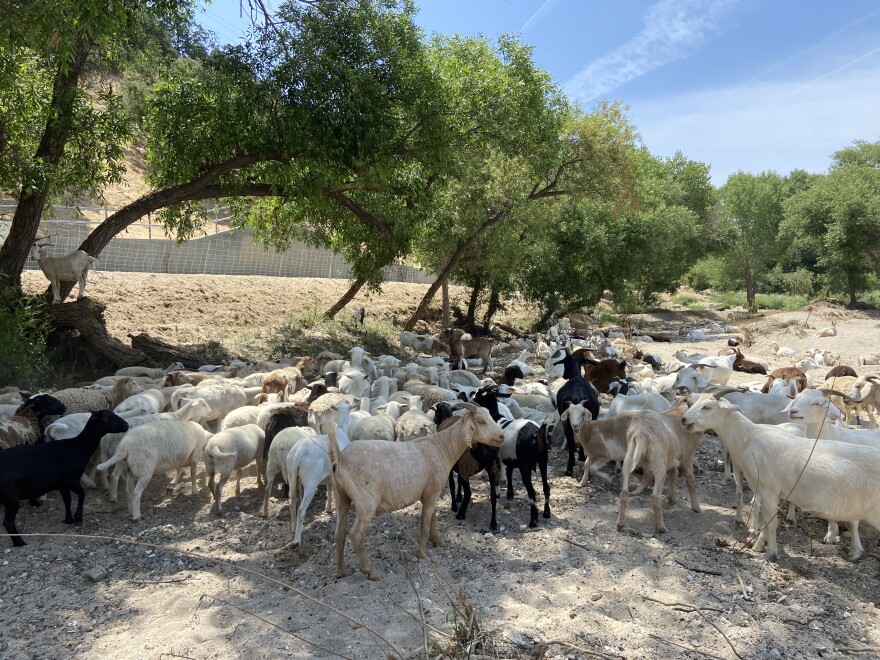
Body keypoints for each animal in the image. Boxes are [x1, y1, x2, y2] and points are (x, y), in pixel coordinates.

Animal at [0, 412, 129, 548]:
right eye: (105, 418)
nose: (126, 425)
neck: (78, 447)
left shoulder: (63, 485)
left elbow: (67, 500)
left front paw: (69, 519)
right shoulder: (72, 480)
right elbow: (82, 495)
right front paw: (78, 517)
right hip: (11, 497)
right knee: (8, 522)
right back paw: (20, 543)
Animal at [612, 404, 700, 532]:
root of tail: (641, 432)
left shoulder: (672, 458)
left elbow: (673, 474)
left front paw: (671, 498)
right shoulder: (687, 456)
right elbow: (690, 481)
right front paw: (696, 507)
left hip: (629, 458)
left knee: (624, 492)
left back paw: (620, 524)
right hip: (659, 465)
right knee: (655, 496)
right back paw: (661, 527)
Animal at [684, 392, 880, 564]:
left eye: (707, 407)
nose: (684, 420)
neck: (749, 437)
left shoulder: (769, 489)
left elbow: (771, 523)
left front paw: (770, 554)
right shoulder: (763, 489)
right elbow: (764, 518)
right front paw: (758, 545)